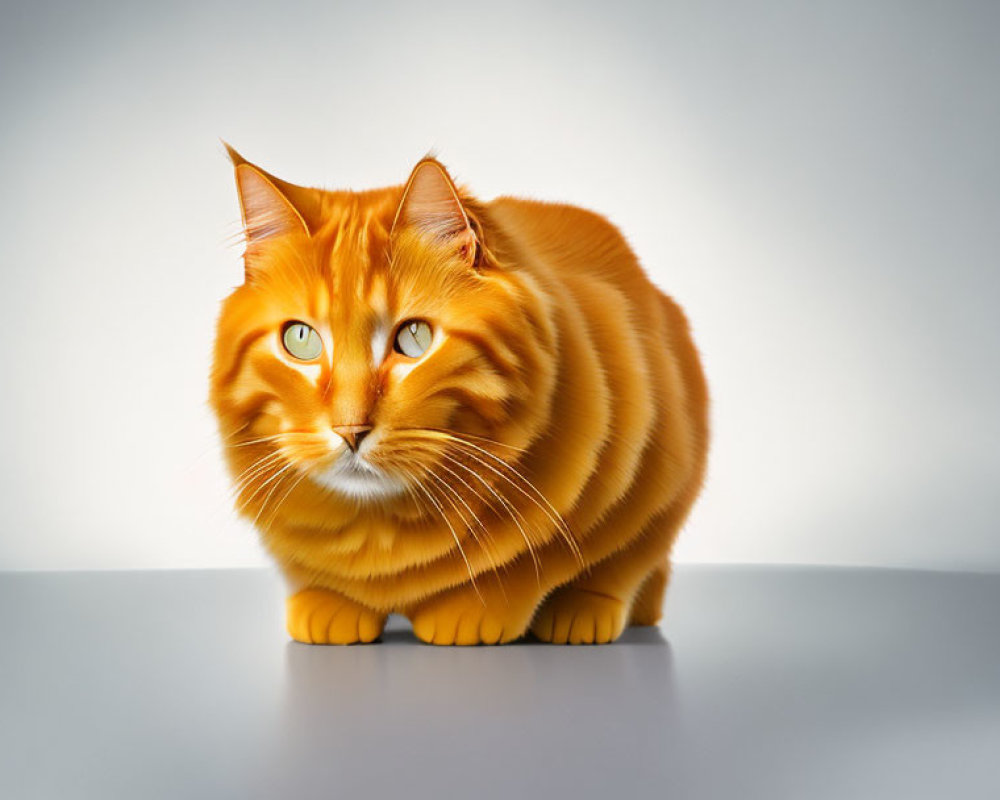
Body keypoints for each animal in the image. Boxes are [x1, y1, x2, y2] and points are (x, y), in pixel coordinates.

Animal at [211, 145, 712, 644]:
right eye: (301, 340)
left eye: (414, 337)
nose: (350, 429)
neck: (381, 527)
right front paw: (330, 605)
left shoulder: (655, 471)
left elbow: (574, 562)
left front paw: (476, 611)